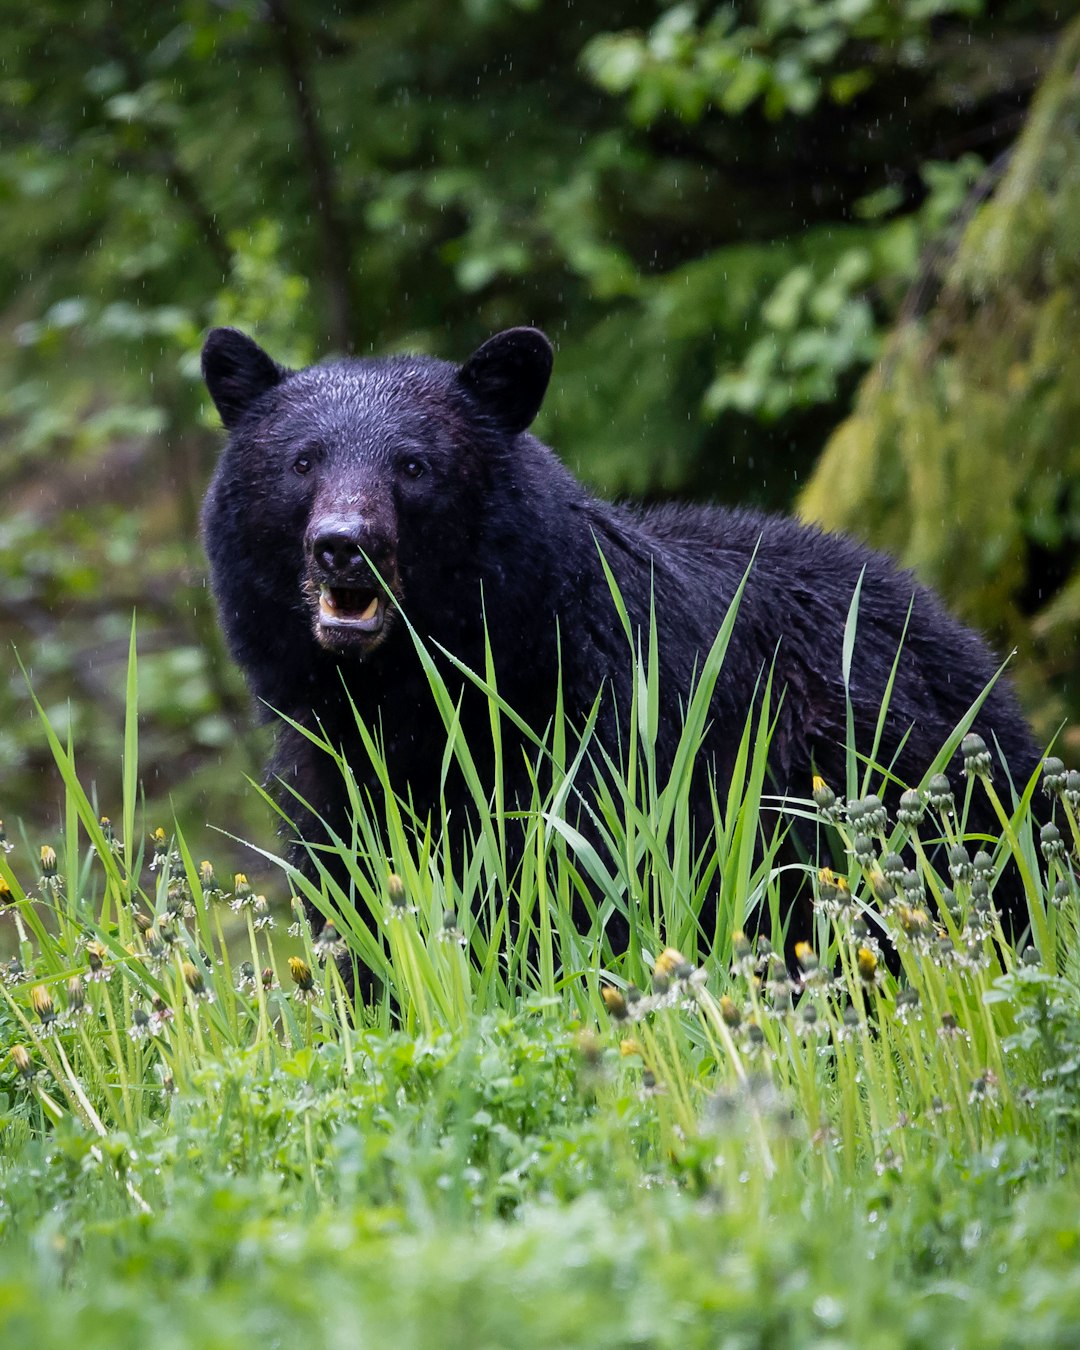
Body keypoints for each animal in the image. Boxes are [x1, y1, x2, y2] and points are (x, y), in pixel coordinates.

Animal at [199, 324, 1036, 939]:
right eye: (302, 462)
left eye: (413, 465)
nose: (345, 543)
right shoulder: (329, 770)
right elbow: (359, 905)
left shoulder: (608, 736)